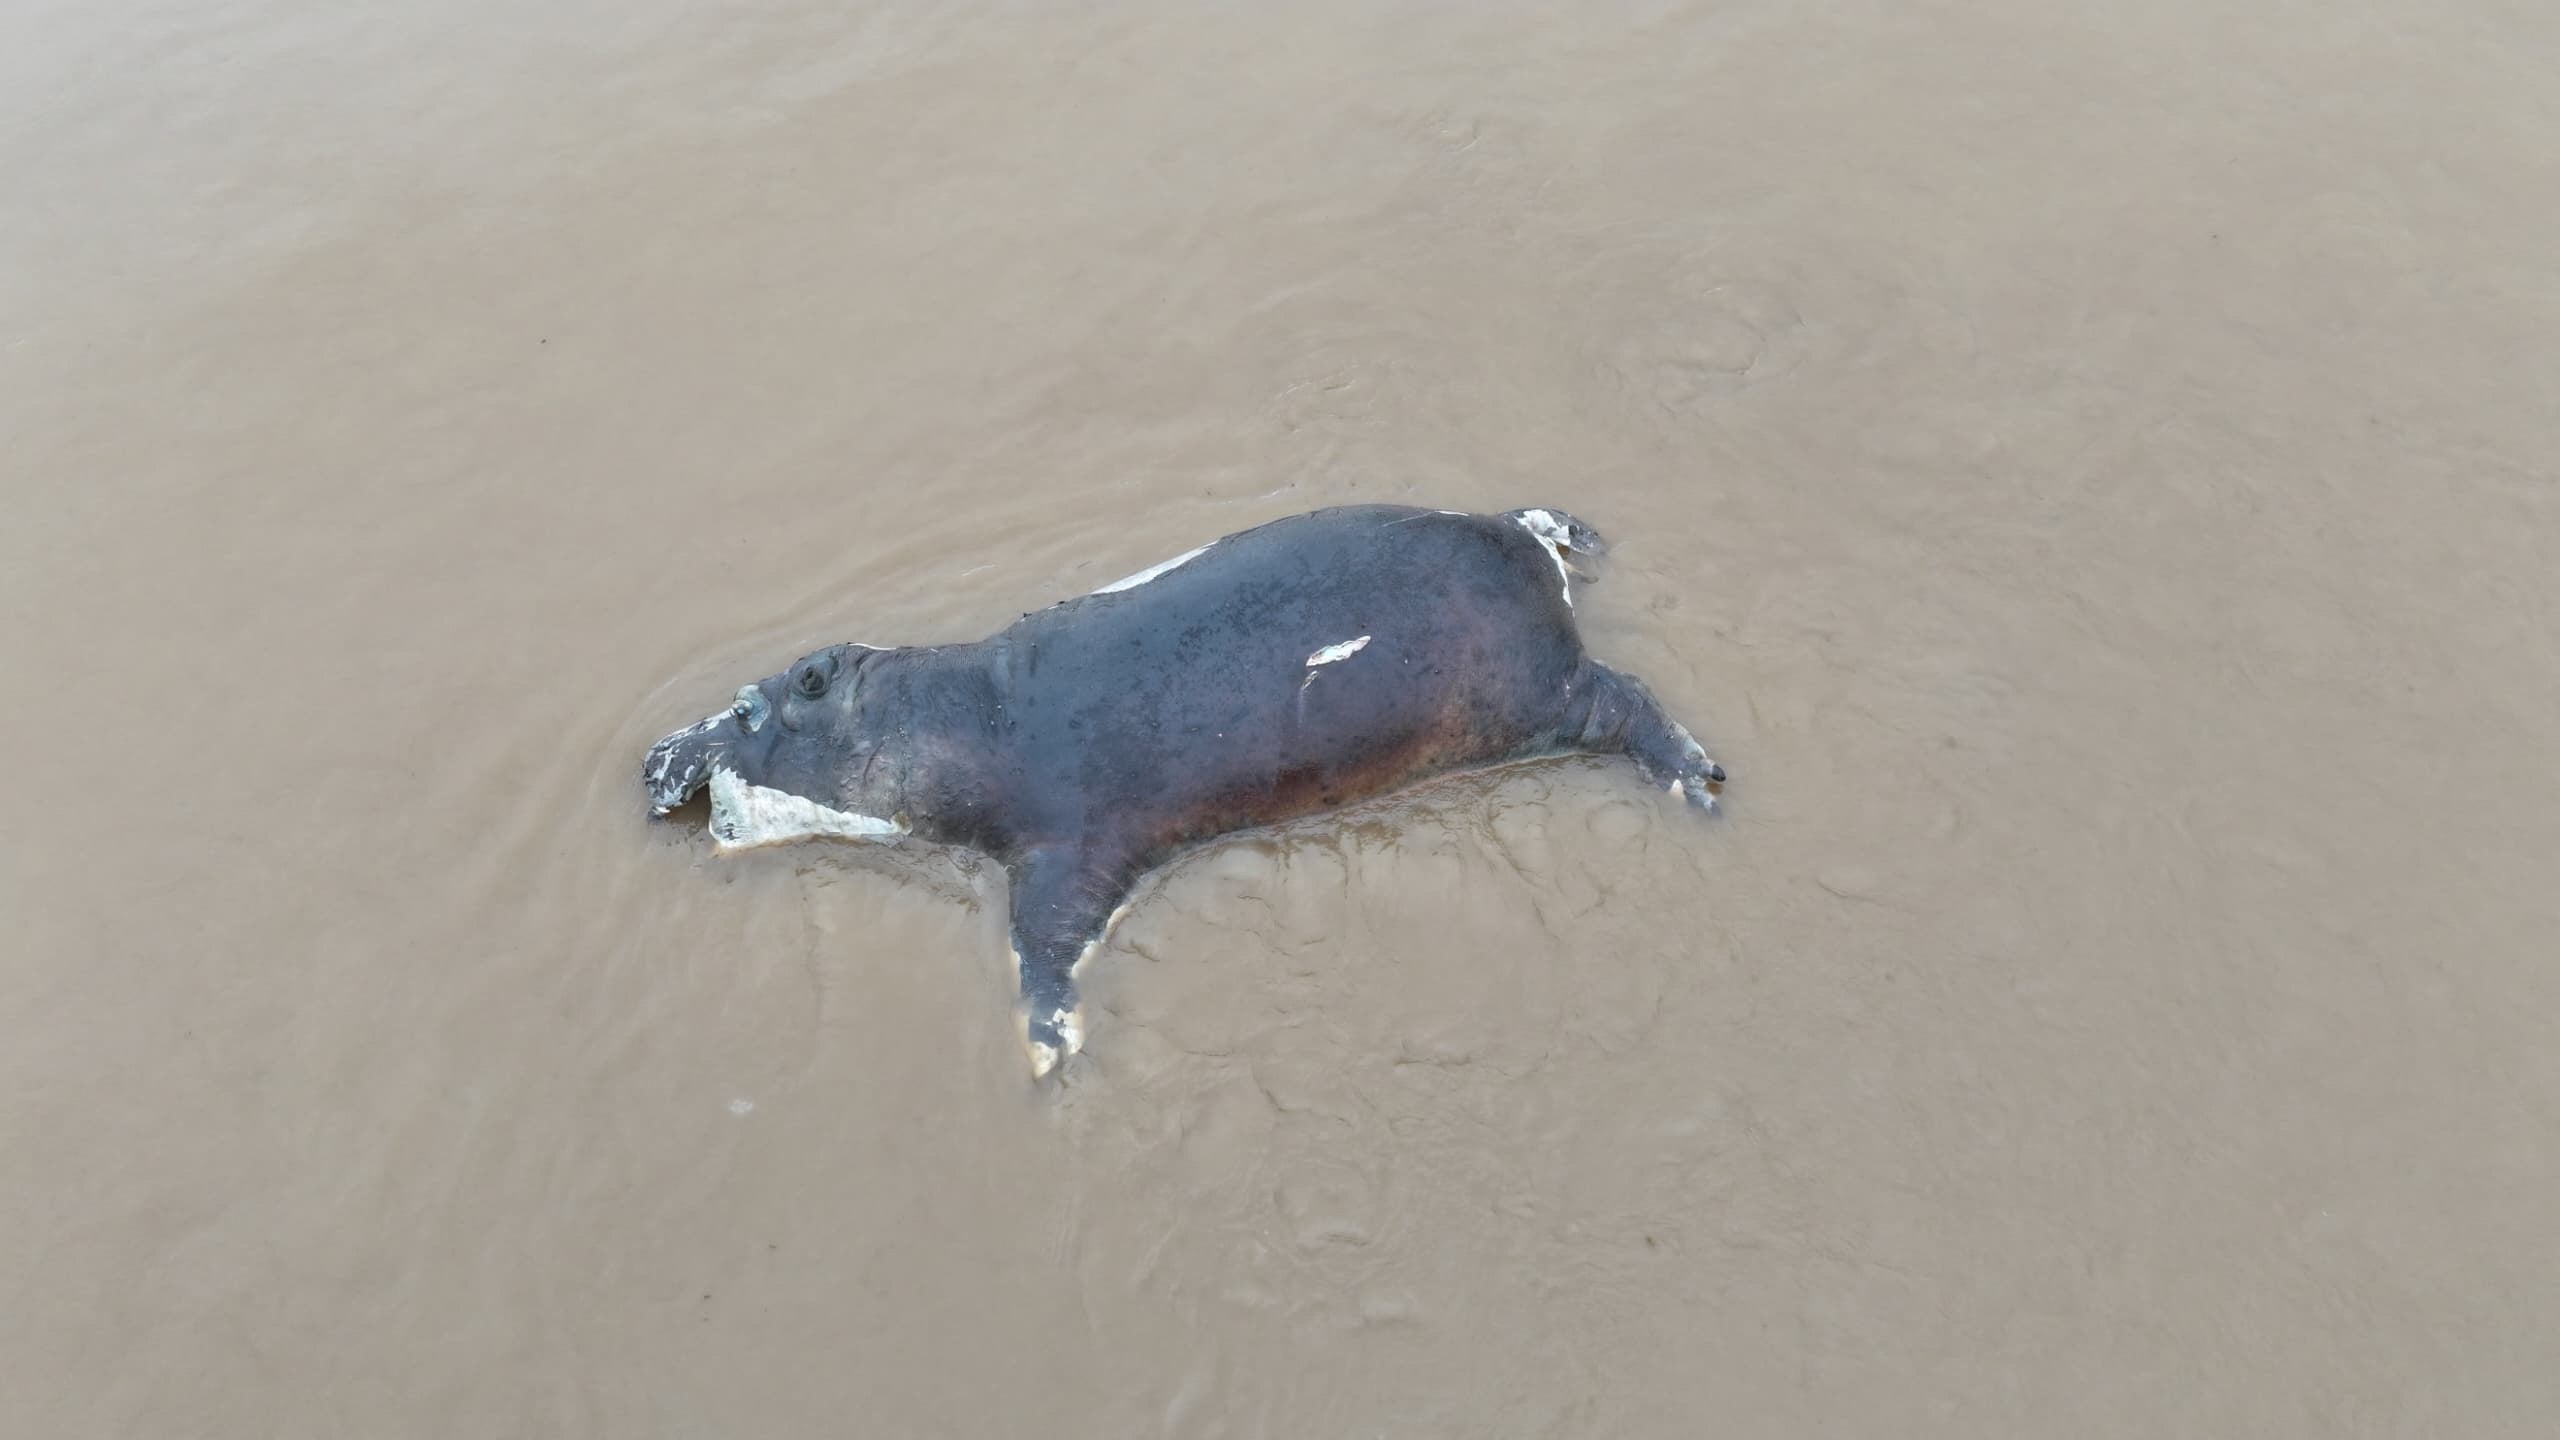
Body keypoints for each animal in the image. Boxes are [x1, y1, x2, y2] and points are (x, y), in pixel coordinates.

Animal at [643, 505, 1725, 1078]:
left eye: (749, 708)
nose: (658, 764)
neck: (976, 714)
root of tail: (1524, 548)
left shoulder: (1072, 841)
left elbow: (1045, 948)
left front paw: (1048, 1050)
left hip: (1535, 697)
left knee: (1625, 699)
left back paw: (1696, 778)